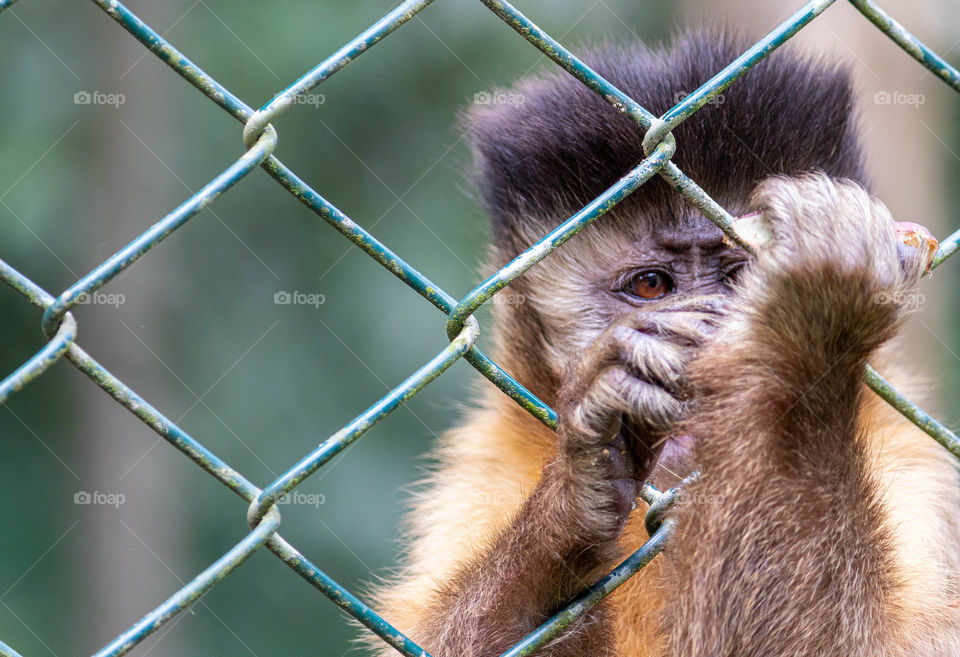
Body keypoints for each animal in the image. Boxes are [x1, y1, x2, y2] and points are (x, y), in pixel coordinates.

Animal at [366, 28, 960, 652]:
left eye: (739, 278)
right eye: (651, 285)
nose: (706, 353)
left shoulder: (911, 464)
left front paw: (813, 322)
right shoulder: (478, 474)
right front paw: (572, 498)